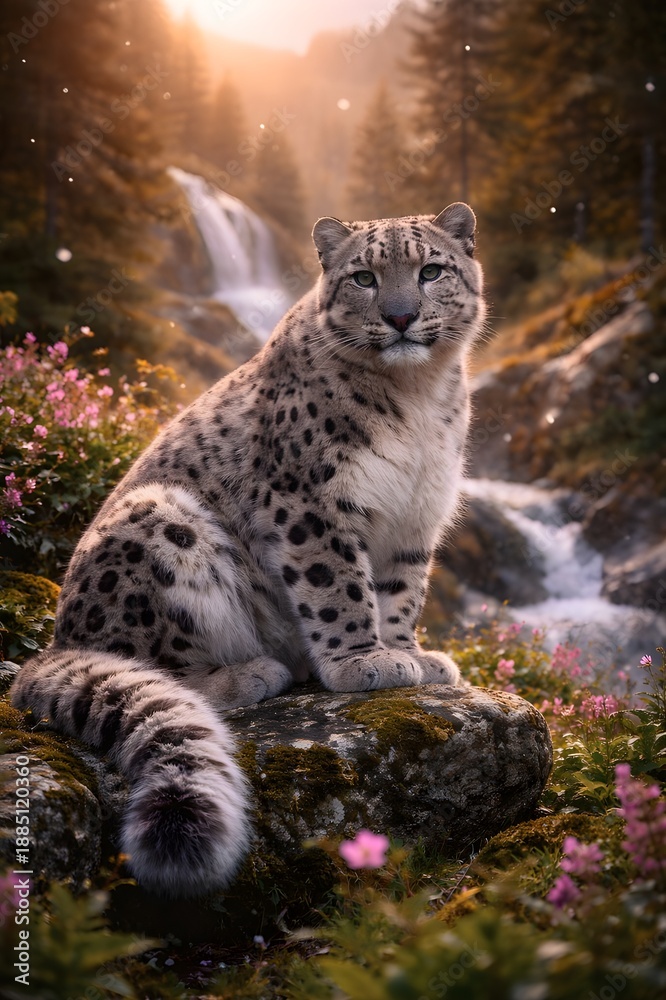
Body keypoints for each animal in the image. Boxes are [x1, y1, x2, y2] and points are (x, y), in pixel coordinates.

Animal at [11, 202, 486, 897]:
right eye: (365, 277)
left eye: (431, 270)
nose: (399, 316)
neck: (418, 398)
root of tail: (54, 641)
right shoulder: (309, 501)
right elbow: (338, 585)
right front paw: (362, 661)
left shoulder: (414, 518)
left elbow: (400, 591)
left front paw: (409, 653)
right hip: (161, 524)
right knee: (152, 663)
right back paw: (253, 672)